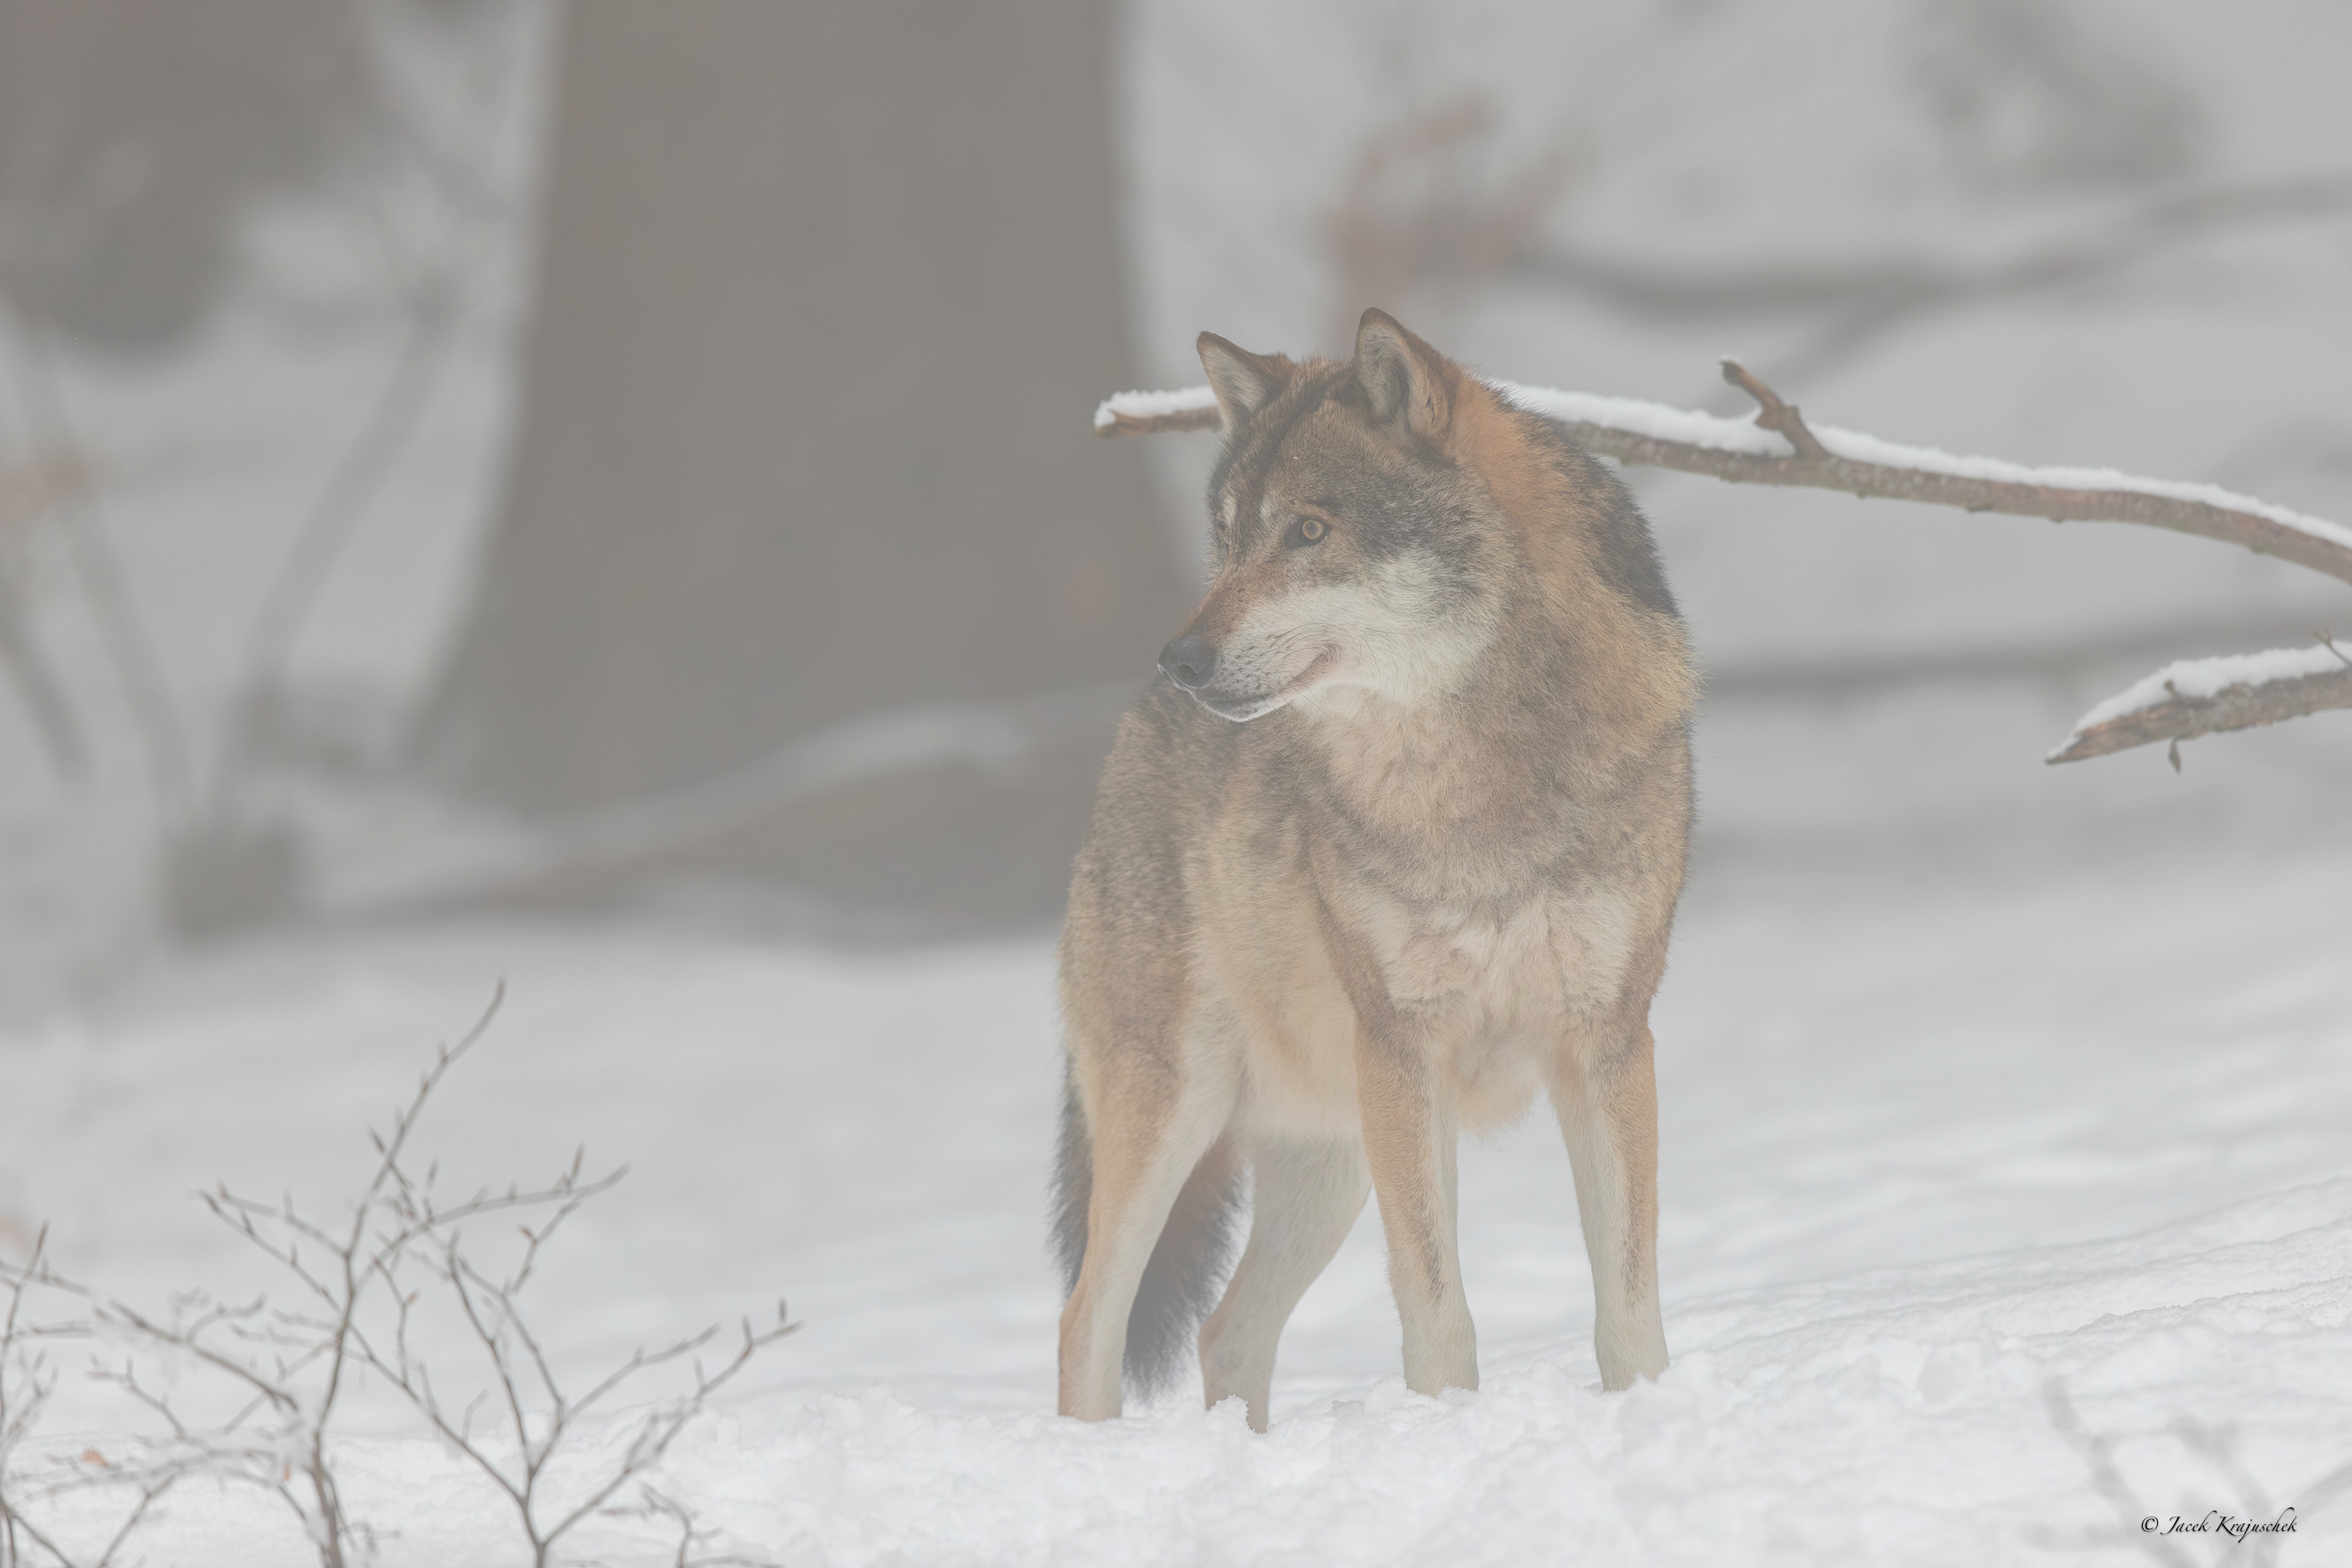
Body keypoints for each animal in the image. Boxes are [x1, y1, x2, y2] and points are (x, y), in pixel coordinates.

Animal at [1053, 310, 1697, 1430]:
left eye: (1309, 533)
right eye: (1228, 535)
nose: (1181, 658)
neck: (1468, 785)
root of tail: (1128, 738)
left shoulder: (1608, 1043)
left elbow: (1628, 1302)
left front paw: (1646, 1415)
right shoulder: (1408, 1050)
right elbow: (1438, 1310)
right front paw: (1450, 1435)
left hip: (1333, 1153)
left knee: (1225, 1333)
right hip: (1181, 1113)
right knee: (1086, 1322)